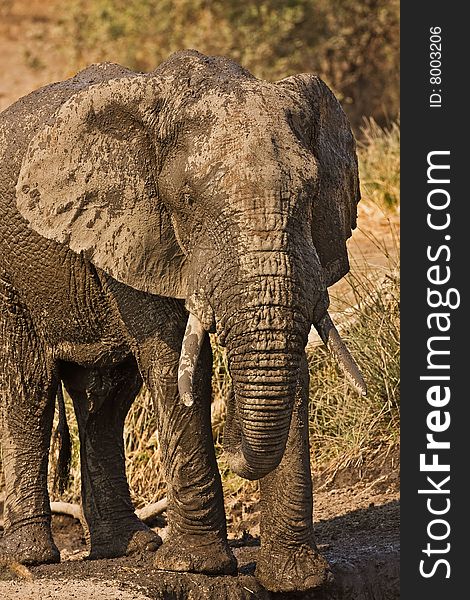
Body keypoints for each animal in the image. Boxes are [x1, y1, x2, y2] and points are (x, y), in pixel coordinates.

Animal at [0, 49, 364, 592]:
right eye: (188, 200)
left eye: (311, 191)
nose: (231, 432)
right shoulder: (134, 224)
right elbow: (175, 359)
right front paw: (197, 567)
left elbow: (292, 357)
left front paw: (298, 581)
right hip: (11, 274)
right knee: (30, 386)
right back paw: (34, 557)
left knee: (105, 397)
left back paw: (132, 546)